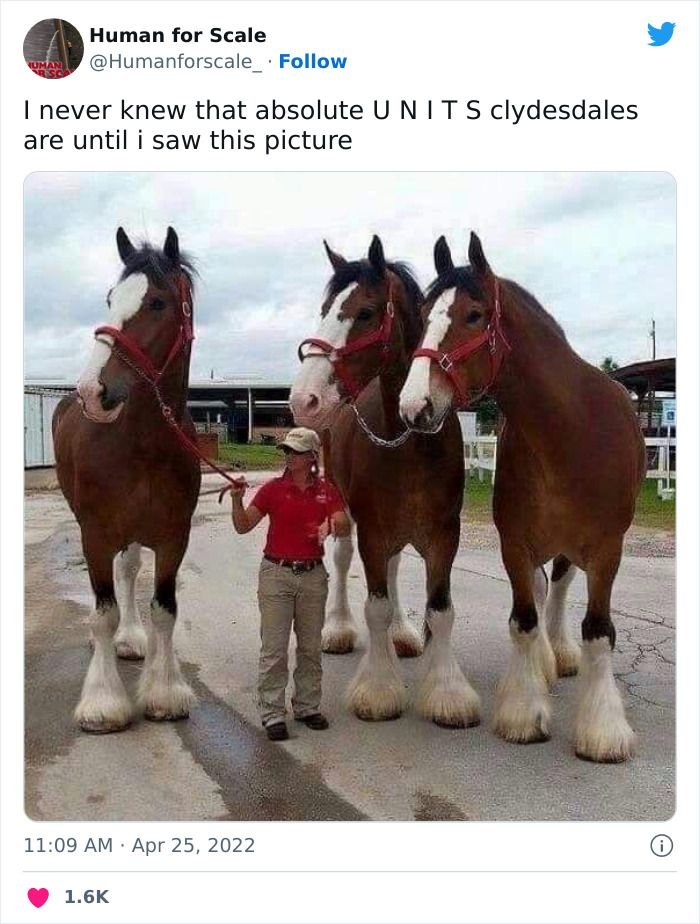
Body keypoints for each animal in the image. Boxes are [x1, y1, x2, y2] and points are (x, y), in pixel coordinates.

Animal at [51, 227, 200, 732]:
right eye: (111, 298)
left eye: (156, 302)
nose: (92, 392)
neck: (143, 446)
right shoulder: (94, 535)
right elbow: (102, 612)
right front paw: (102, 702)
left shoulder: (174, 537)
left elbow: (165, 610)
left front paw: (164, 691)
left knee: (131, 570)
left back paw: (132, 639)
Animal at [290, 238, 482, 728]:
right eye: (325, 308)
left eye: (366, 312)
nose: (304, 399)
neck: (411, 442)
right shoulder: (372, 531)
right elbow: (373, 606)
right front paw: (378, 689)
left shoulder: (443, 535)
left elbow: (441, 610)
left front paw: (447, 692)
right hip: (344, 512)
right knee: (341, 560)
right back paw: (338, 628)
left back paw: (400, 633)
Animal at [400, 235, 644, 760]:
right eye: (425, 313)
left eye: (474, 315)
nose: (414, 407)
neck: (569, 433)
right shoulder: (514, 542)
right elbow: (524, 620)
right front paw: (524, 712)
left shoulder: (607, 550)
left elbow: (598, 632)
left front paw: (602, 730)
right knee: (540, 589)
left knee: (562, 588)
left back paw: (562, 655)